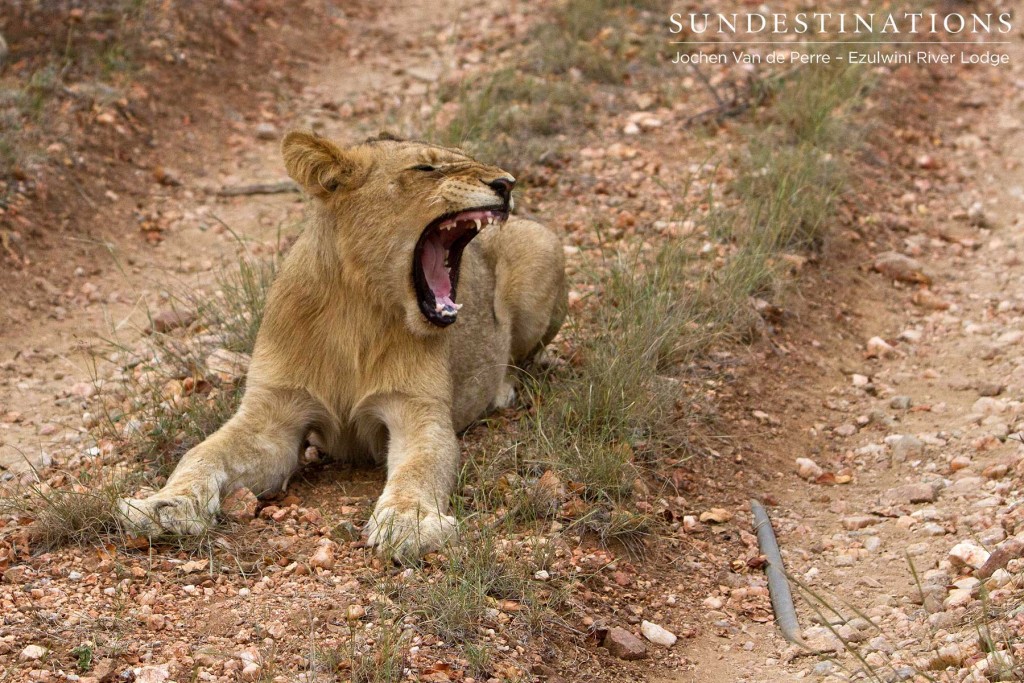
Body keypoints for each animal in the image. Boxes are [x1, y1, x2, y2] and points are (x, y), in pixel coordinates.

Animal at [121, 129, 569, 561]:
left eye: (468, 159)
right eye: (425, 167)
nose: (507, 183)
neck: (359, 306)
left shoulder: (418, 412)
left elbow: (420, 470)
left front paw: (408, 523)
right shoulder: (272, 416)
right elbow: (201, 454)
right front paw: (163, 506)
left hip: (541, 247)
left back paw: (502, 389)